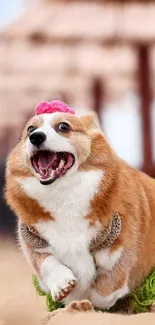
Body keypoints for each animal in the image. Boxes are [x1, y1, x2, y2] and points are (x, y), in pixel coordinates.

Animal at [4, 100, 155, 308]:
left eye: (63, 127)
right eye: (30, 129)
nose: (35, 137)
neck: (62, 192)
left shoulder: (122, 243)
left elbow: (105, 289)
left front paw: (91, 302)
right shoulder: (33, 241)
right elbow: (47, 263)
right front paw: (63, 285)